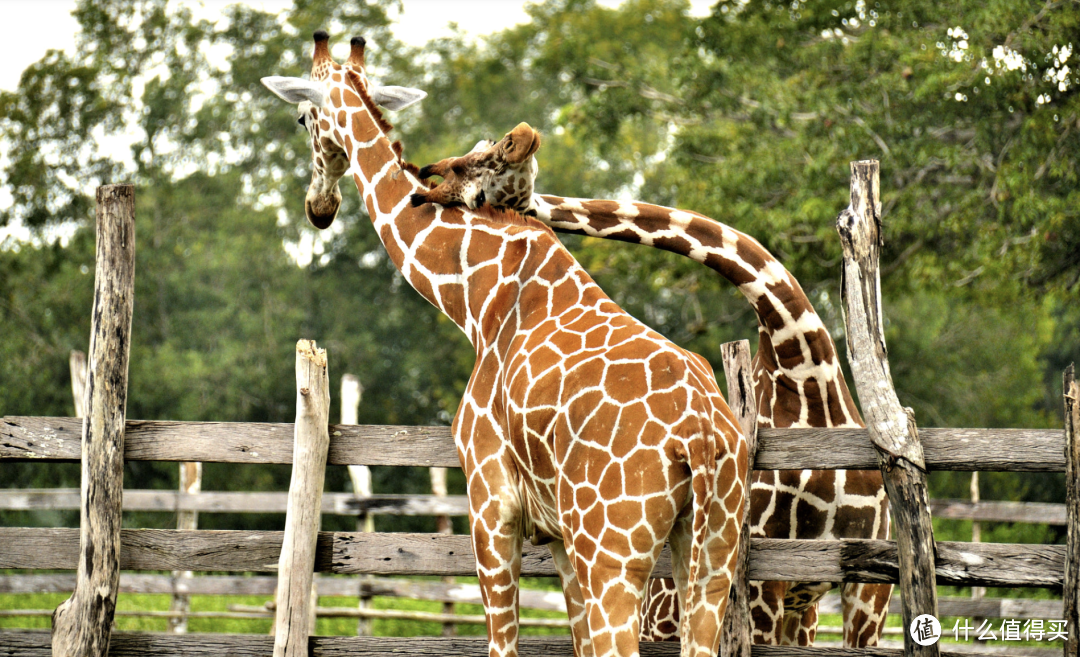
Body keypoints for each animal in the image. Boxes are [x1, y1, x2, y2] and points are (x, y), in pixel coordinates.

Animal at [261, 33, 751, 657]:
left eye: (302, 116)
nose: (318, 208)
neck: (475, 297)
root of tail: (702, 436)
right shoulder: (562, 540)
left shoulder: (491, 502)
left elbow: (503, 642)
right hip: (711, 552)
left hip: (614, 553)